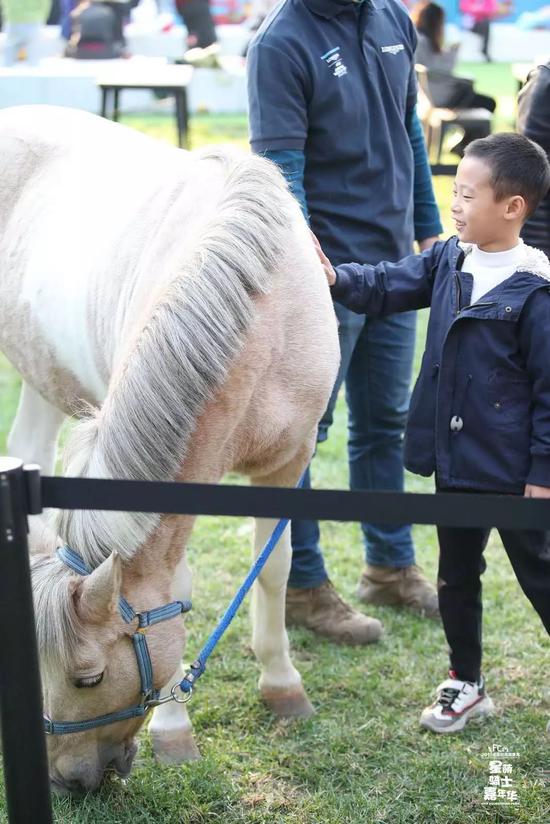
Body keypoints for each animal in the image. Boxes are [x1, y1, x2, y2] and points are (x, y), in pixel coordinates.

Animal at [0, 106, 340, 796]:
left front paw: (283, 687)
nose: (67, 783)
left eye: (88, 678)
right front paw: (175, 729)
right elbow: (179, 581)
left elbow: (275, 568)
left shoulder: (288, 464)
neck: (264, 315)